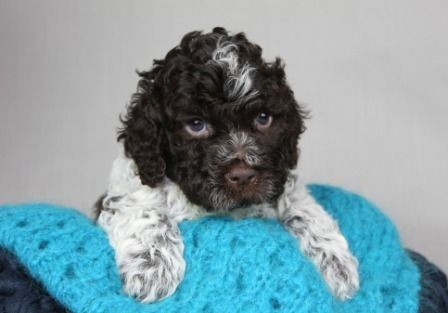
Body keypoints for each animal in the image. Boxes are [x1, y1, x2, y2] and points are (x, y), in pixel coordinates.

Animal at [97, 27, 360, 302]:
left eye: (263, 118)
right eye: (196, 125)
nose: (243, 176)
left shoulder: (280, 179)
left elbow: (301, 205)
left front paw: (336, 262)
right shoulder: (134, 179)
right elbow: (143, 206)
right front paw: (151, 266)